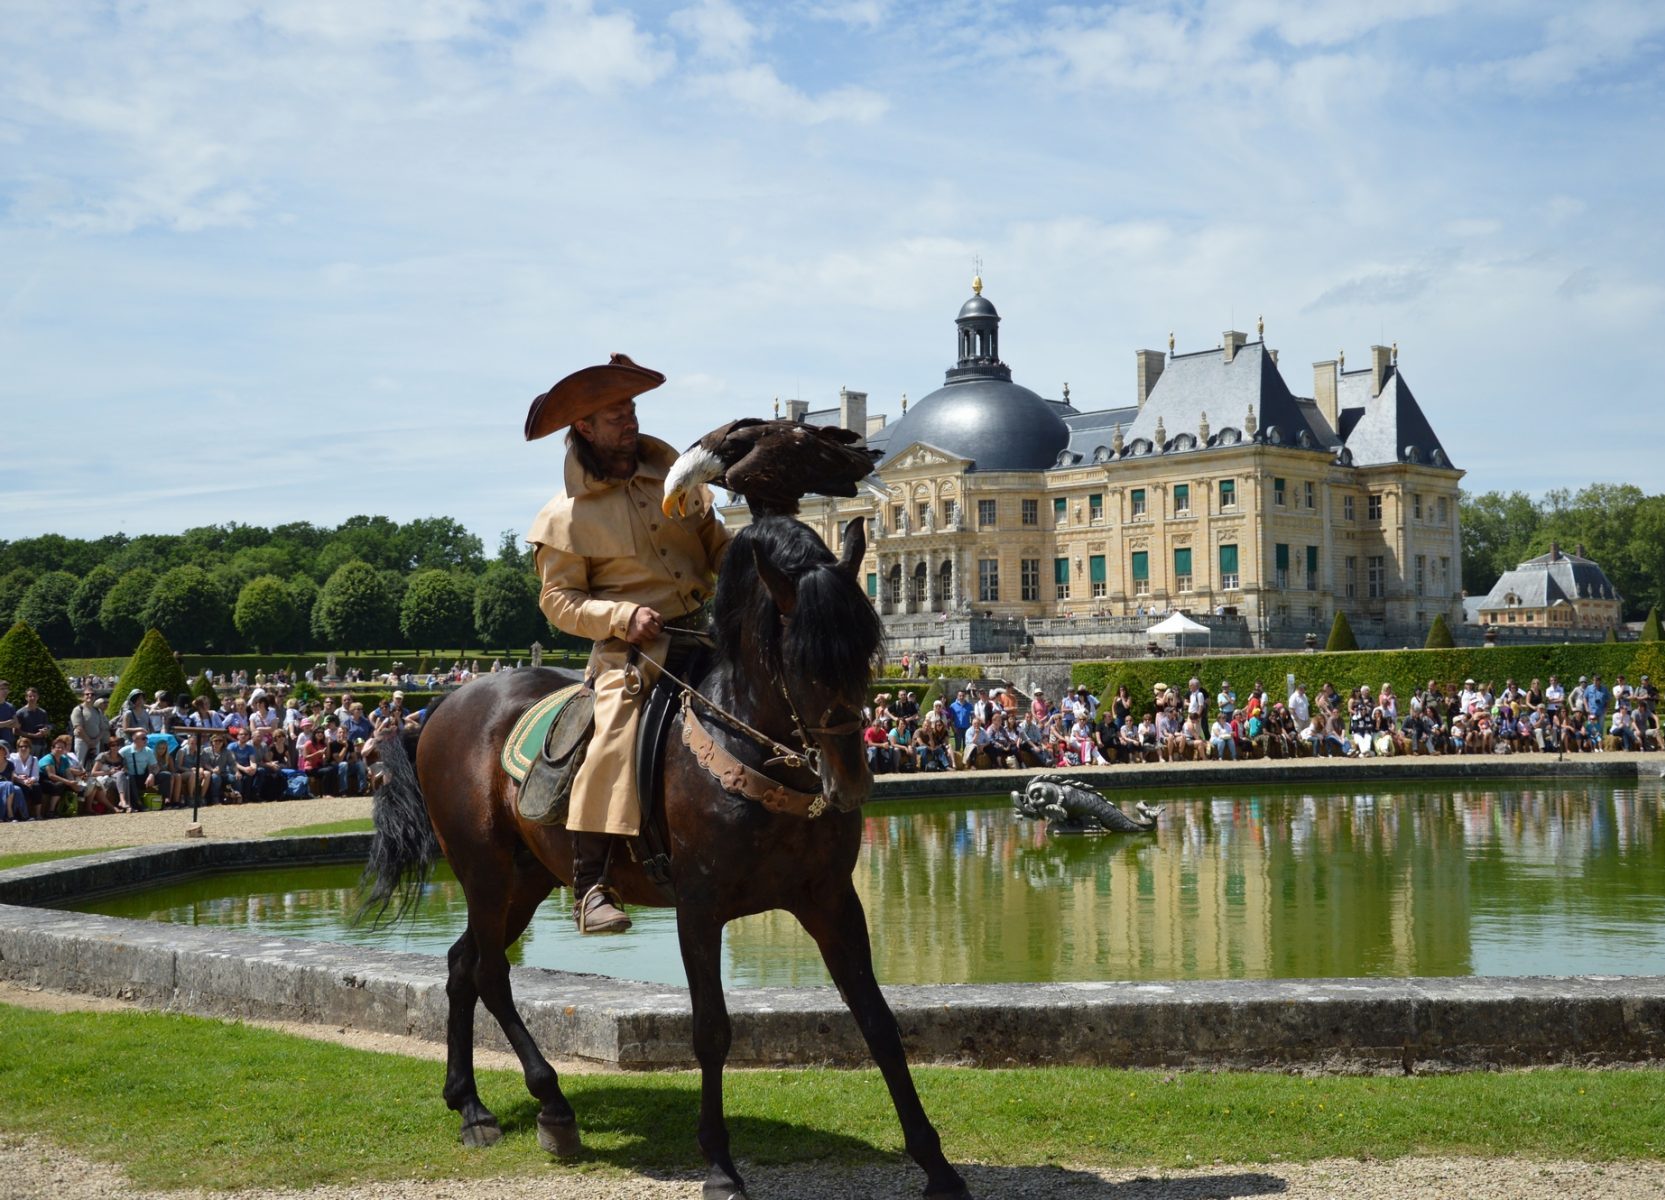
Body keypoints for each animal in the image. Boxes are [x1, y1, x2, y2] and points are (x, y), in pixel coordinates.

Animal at [357, 515, 972, 1198]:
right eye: (801, 660)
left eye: (865, 650)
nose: (850, 783)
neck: (756, 752)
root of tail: (443, 706)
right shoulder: (698, 909)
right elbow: (711, 1031)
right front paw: (720, 1165)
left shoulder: (832, 901)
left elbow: (879, 1022)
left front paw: (936, 1164)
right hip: (485, 873)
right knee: (489, 970)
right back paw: (540, 1103)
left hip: (525, 880)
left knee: (464, 964)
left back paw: (473, 1101)